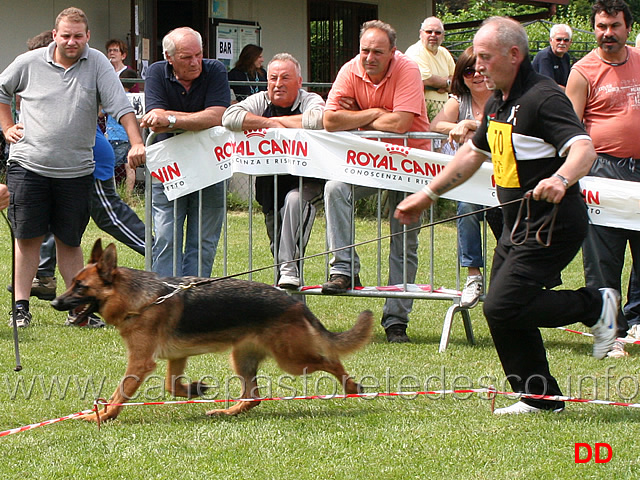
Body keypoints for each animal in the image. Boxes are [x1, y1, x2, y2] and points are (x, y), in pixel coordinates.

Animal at [52, 240, 372, 420]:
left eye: (80, 287)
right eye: (72, 283)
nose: (55, 302)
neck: (139, 300)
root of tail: (293, 302)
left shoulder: (140, 363)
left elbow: (120, 392)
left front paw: (104, 416)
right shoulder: (176, 357)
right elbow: (171, 385)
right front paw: (195, 388)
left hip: (291, 360)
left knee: (331, 361)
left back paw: (352, 387)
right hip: (242, 358)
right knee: (253, 396)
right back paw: (226, 411)